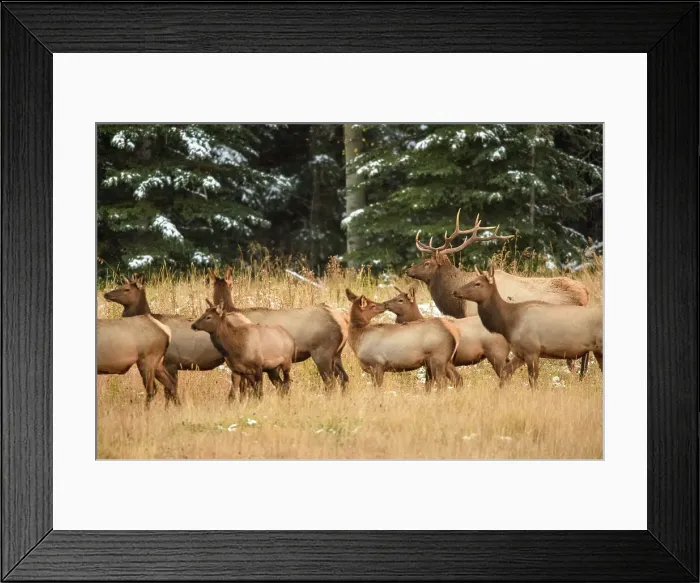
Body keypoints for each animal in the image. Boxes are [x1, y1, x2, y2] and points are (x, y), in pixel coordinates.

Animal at [383, 286, 513, 385]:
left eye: (400, 300)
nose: (385, 303)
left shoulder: (446, 361)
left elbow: (456, 380)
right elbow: (428, 384)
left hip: (496, 352)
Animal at [453, 264, 602, 389]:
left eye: (477, 283)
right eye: (473, 279)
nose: (455, 291)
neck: (509, 323)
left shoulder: (532, 350)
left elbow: (532, 381)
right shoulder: (520, 353)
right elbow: (505, 374)